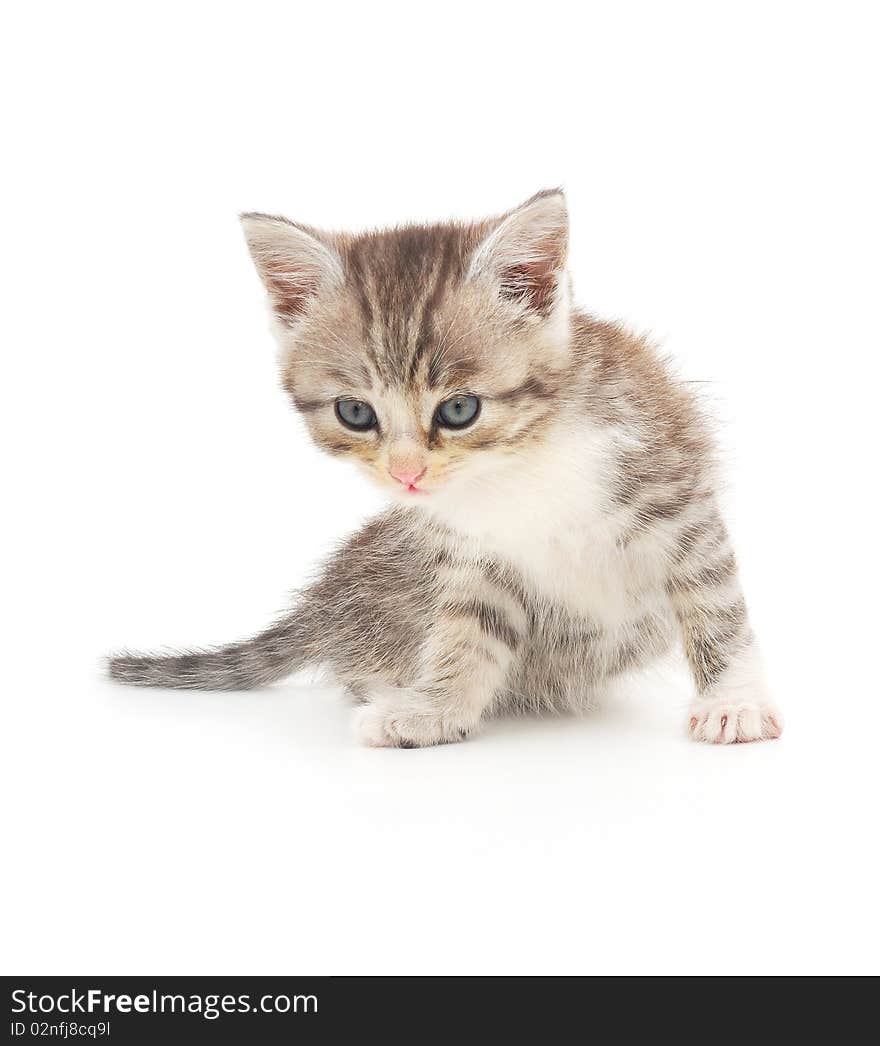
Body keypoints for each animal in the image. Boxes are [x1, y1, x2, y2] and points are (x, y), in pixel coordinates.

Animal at [109, 188, 782, 744]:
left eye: (459, 409)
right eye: (355, 412)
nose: (406, 474)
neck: (520, 465)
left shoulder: (677, 496)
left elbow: (716, 606)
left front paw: (733, 701)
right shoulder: (473, 557)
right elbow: (465, 633)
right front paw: (434, 709)